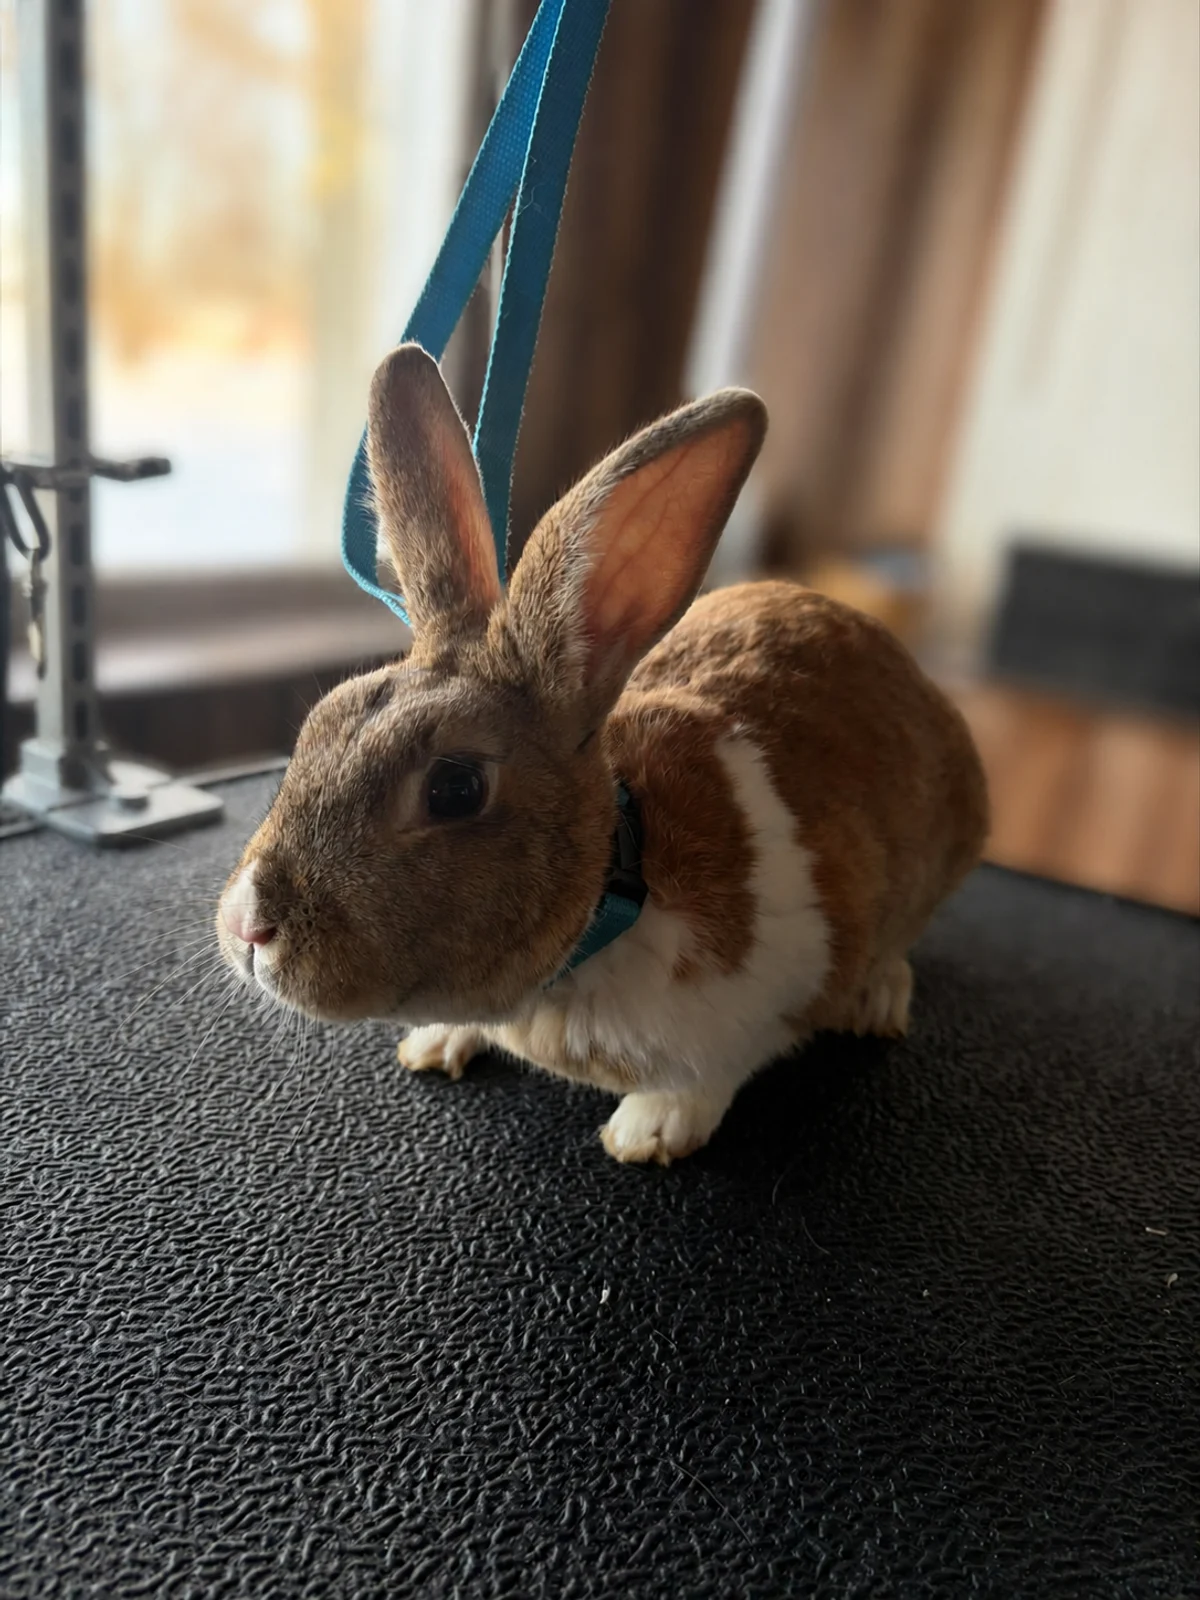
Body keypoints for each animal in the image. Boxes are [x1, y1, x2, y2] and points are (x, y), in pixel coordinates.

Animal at [217, 343, 989, 1165]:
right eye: (315, 727)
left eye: (455, 788)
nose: (248, 928)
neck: (618, 888)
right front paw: (435, 1043)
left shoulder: (786, 980)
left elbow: (712, 1072)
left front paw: (648, 1133)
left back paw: (877, 1000)